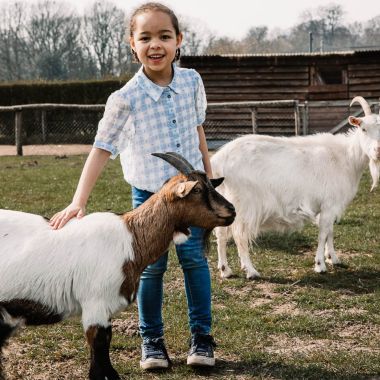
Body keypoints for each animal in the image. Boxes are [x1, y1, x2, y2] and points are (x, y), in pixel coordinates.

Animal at [0, 152, 236, 380]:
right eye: (197, 189)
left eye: (210, 184)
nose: (231, 210)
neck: (130, 238)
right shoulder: (95, 306)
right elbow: (99, 360)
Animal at [211, 95, 380, 280]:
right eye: (363, 129)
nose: (378, 150)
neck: (346, 157)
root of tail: (218, 160)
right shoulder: (329, 205)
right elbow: (323, 233)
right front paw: (320, 265)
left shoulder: (328, 207)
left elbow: (330, 232)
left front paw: (333, 258)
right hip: (245, 203)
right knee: (240, 235)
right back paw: (251, 271)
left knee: (221, 233)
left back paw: (225, 270)